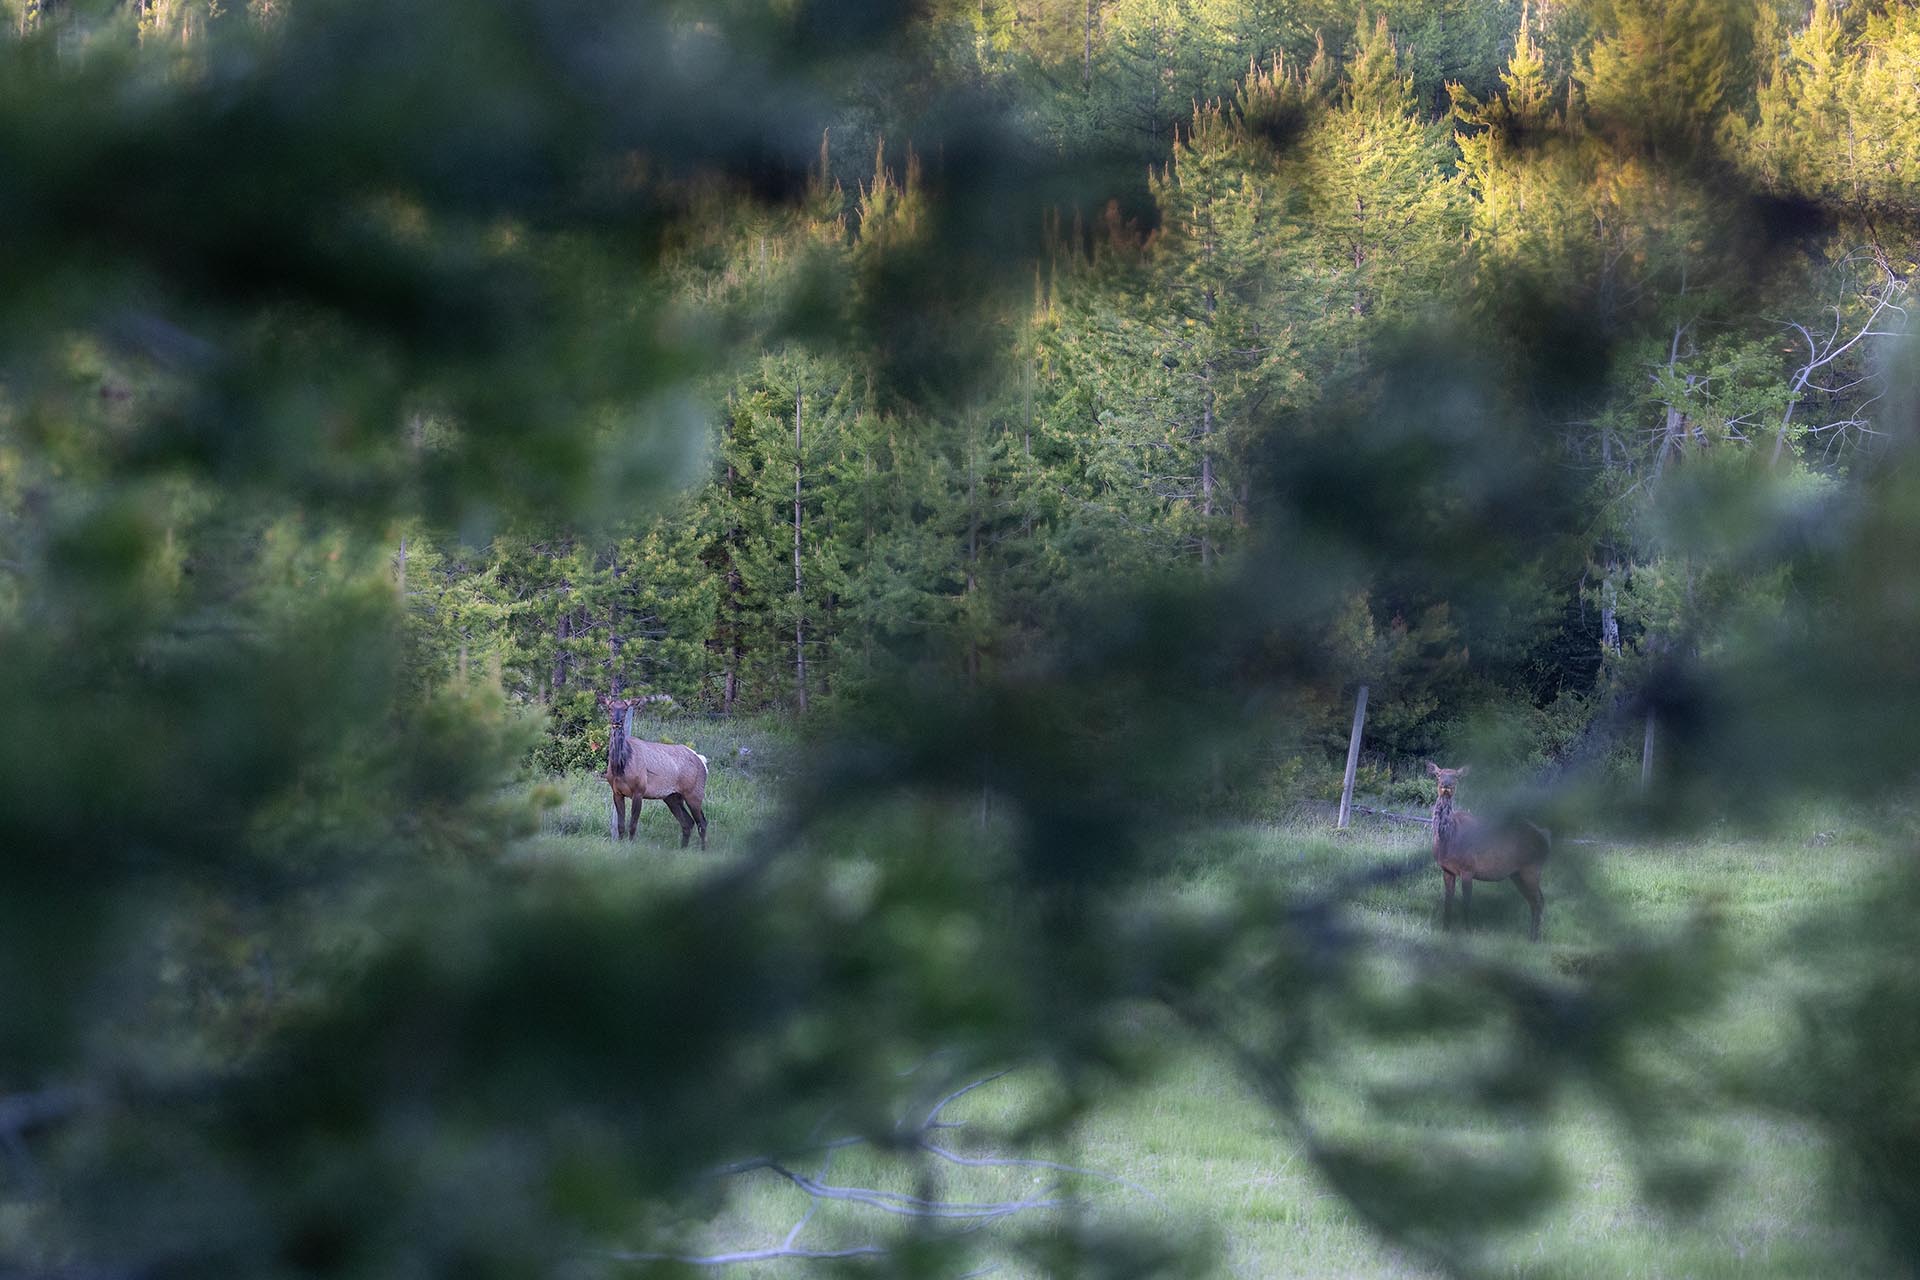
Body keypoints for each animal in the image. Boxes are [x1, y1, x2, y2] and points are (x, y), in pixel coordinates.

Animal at [601, 694, 710, 849]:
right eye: (610, 708)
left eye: (625, 709)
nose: (617, 722)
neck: (620, 768)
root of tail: (702, 761)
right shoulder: (616, 792)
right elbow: (620, 826)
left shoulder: (639, 790)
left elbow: (632, 825)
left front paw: (630, 846)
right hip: (672, 797)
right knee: (688, 822)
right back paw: (683, 848)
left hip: (694, 792)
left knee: (702, 822)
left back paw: (703, 850)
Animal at [1426, 763, 1549, 941]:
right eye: (1438, 774)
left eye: (1456, 776)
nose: (1446, 785)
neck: (1448, 838)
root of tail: (1546, 839)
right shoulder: (1447, 869)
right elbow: (1448, 900)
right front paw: (1445, 928)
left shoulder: (1468, 868)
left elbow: (1466, 901)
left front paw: (1467, 930)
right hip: (1517, 874)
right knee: (1533, 900)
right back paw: (1531, 935)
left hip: (1532, 868)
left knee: (1539, 900)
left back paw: (1535, 937)